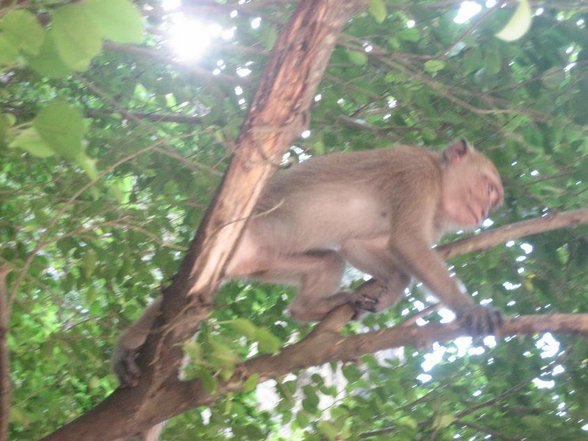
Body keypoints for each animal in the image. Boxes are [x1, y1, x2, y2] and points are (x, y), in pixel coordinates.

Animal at [112, 140, 504, 388]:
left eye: (494, 199)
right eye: (488, 188)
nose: (486, 212)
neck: (439, 180)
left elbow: (358, 245)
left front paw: (391, 288)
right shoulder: (415, 175)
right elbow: (407, 242)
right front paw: (470, 310)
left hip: (267, 263)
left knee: (328, 262)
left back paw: (311, 308)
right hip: (237, 240)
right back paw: (129, 347)